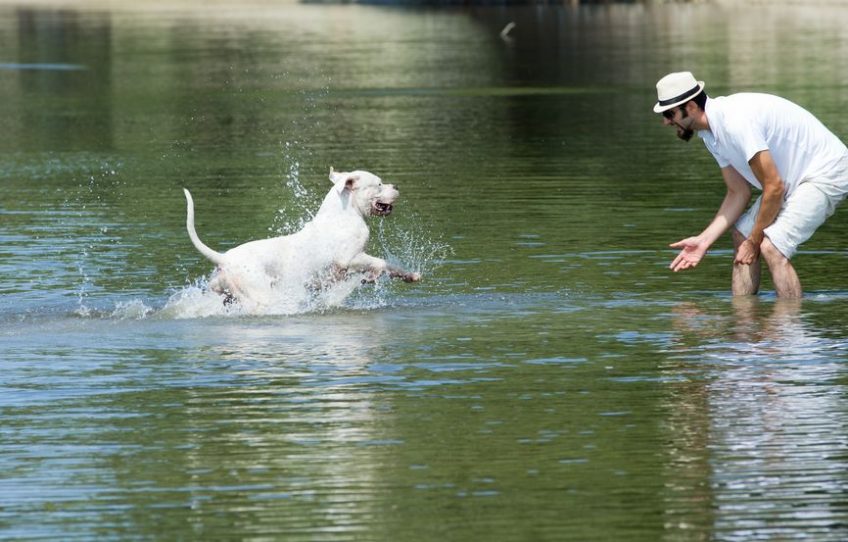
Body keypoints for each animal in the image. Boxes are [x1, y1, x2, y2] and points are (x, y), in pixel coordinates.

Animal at [186, 168, 424, 312]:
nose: (397, 187)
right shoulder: (349, 259)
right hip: (261, 292)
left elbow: (391, 266)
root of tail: (224, 258)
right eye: (379, 184)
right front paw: (372, 276)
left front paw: (410, 275)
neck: (344, 212)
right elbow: (380, 262)